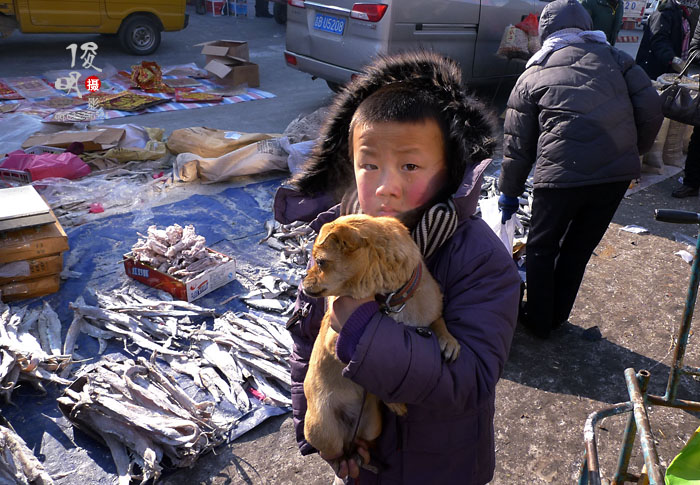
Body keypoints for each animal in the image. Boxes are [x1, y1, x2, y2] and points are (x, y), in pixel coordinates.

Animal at [300, 215, 460, 466]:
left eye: (320, 262)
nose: (302, 278)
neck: (390, 300)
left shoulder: (429, 309)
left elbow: (437, 320)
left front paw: (449, 340)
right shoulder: (339, 343)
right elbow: (377, 378)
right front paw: (394, 402)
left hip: (371, 426)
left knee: (361, 442)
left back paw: (366, 458)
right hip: (323, 430)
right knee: (334, 452)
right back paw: (345, 463)